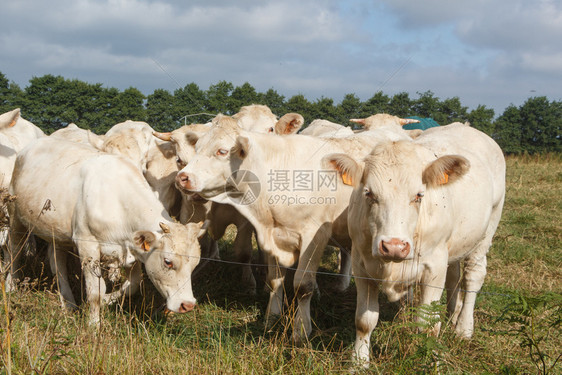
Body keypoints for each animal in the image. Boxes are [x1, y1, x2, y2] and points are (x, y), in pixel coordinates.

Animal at [7, 138, 202, 326]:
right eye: (168, 262)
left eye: (195, 264)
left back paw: (68, 303)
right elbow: (95, 291)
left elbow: (133, 285)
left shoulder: (133, 252)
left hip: (57, 232)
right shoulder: (88, 246)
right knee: (14, 250)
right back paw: (11, 286)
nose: (187, 305)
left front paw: (106, 300)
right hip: (15, 215)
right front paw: (94, 325)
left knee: (57, 263)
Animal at [175, 118, 406, 344]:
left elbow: (303, 286)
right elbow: (274, 280)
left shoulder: (314, 236)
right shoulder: (271, 236)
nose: (182, 177)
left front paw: (301, 330)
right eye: (197, 147)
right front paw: (271, 317)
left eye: (222, 151)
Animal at [322, 124, 506, 368]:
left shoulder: (434, 267)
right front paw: (359, 363)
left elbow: (428, 327)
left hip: (488, 228)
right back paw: (452, 313)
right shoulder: (362, 265)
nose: (393, 246)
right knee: (454, 275)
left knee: (473, 276)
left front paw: (433, 362)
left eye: (419, 195)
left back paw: (463, 328)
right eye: (369, 193)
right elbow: (364, 320)